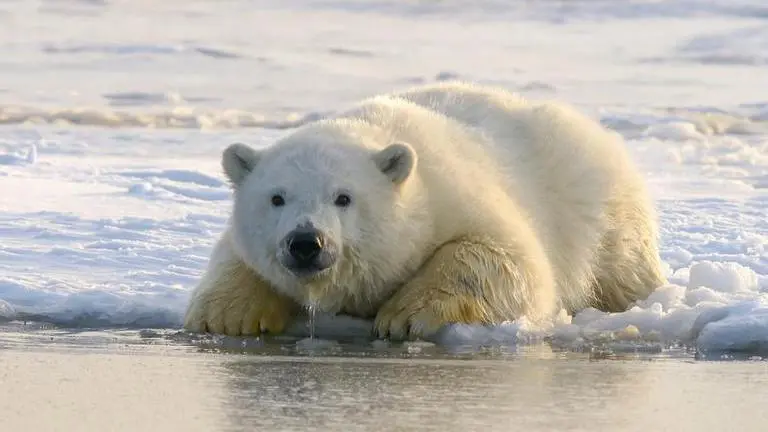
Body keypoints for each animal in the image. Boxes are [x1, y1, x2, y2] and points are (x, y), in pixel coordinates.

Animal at [183, 81, 666, 341]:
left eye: (343, 197)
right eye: (277, 197)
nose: (306, 242)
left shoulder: (455, 195)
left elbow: (507, 259)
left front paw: (403, 316)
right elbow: (235, 255)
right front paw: (227, 316)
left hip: (599, 207)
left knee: (622, 266)